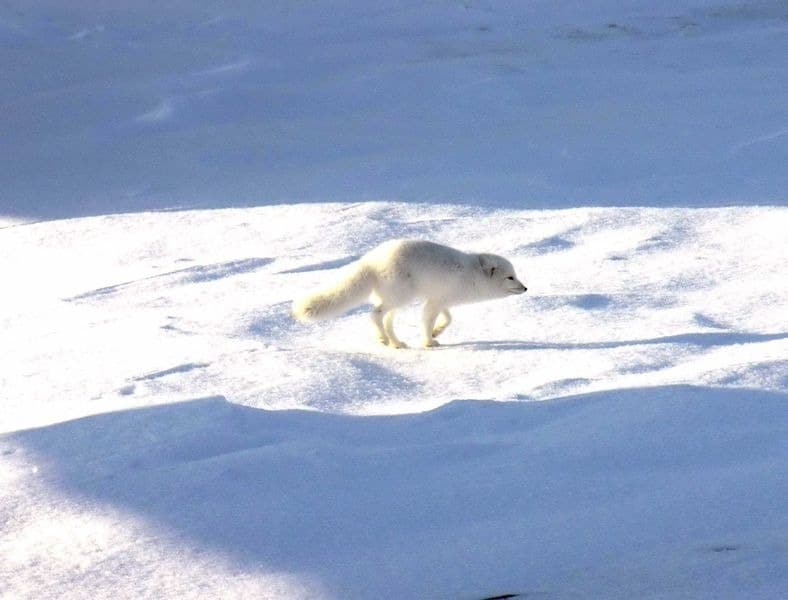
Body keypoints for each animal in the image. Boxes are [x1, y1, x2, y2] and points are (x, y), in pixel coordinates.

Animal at [292, 239, 528, 350]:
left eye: (516, 275)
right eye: (510, 278)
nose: (525, 288)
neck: (471, 274)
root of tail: (369, 261)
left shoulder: (439, 299)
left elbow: (448, 318)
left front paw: (437, 332)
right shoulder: (435, 302)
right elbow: (427, 320)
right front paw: (429, 342)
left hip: (398, 301)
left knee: (386, 320)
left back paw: (395, 343)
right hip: (401, 297)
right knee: (375, 314)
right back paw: (384, 339)